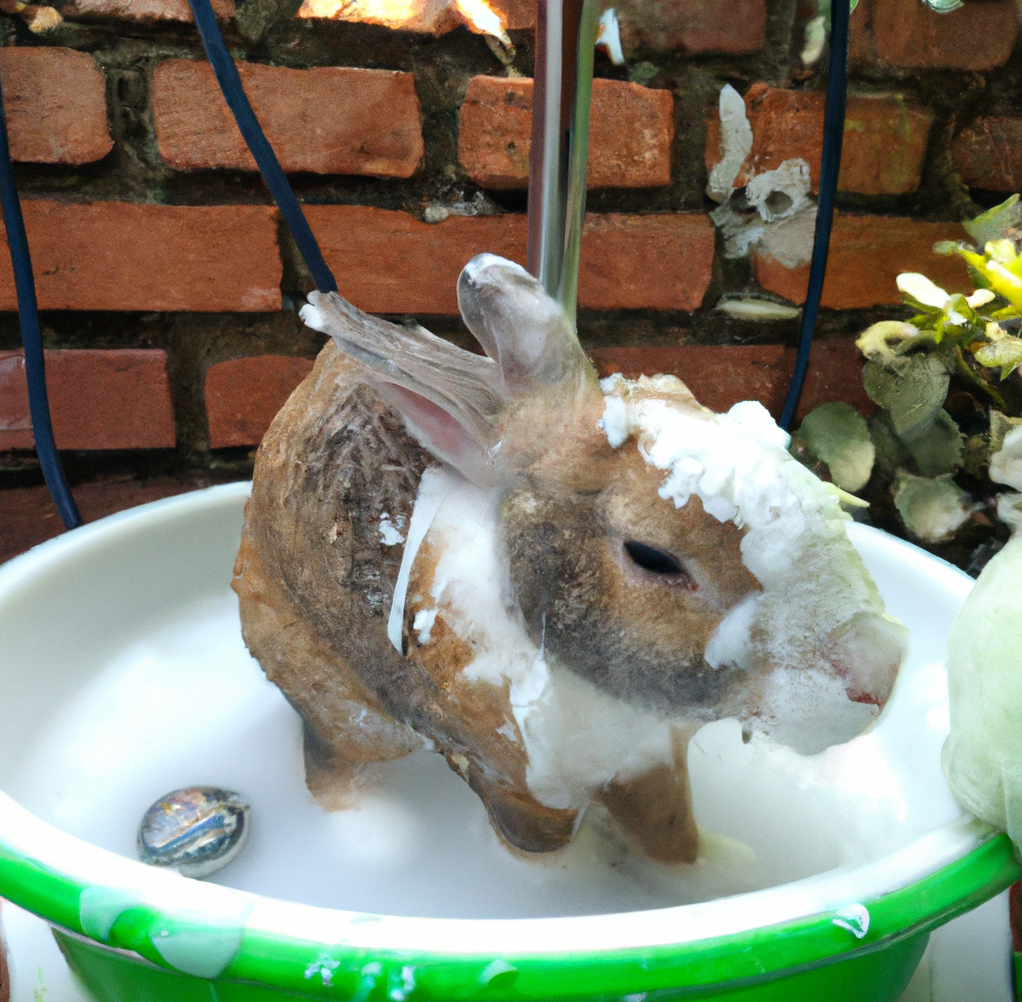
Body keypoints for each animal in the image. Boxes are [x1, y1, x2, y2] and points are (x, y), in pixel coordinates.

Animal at [231, 254, 903, 867]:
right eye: (651, 556)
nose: (880, 675)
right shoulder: (518, 792)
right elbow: (545, 850)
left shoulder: (654, 760)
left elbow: (672, 838)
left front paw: (719, 869)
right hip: (330, 692)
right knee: (330, 766)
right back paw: (370, 837)